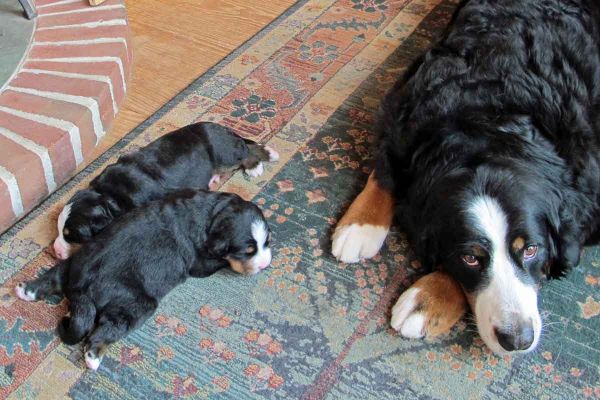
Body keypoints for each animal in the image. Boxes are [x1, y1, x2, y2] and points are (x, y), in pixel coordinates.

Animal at [15, 189, 272, 370]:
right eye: (247, 250)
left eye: (267, 241)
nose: (265, 264)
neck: (212, 213)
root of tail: (81, 289)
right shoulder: (201, 263)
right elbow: (221, 262)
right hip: (136, 304)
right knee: (106, 329)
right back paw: (93, 356)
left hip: (74, 261)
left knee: (53, 277)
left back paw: (26, 290)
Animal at [52, 122, 278, 260]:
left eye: (72, 236)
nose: (55, 251)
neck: (109, 196)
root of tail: (221, 127)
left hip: (224, 152)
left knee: (245, 149)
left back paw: (258, 162)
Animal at [332, 0, 600, 356]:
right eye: (471, 257)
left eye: (531, 250)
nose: (517, 339)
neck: (489, 120)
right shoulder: (402, 115)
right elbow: (385, 171)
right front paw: (360, 225)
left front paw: (427, 299)